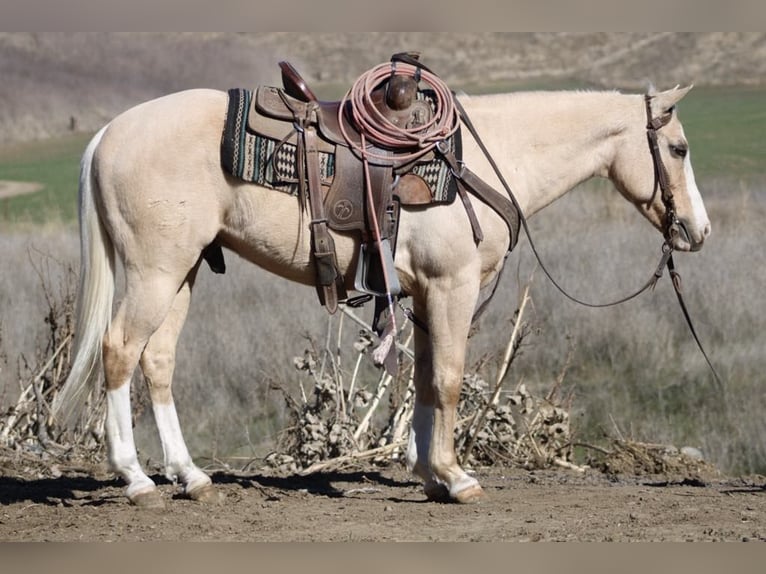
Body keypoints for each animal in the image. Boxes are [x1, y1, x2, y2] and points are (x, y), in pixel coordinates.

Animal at [54, 83, 712, 506]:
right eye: (679, 149)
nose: (697, 231)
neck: (480, 162)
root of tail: (109, 132)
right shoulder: (452, 286)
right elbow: (447, 378)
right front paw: (456, 477)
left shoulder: (422, 295)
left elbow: (423, 378)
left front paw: (428, 474)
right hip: (154, 272)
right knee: (118, 351)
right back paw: (136, 479)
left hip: (181, 272)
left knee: (158, 360)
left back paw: (189, 476)